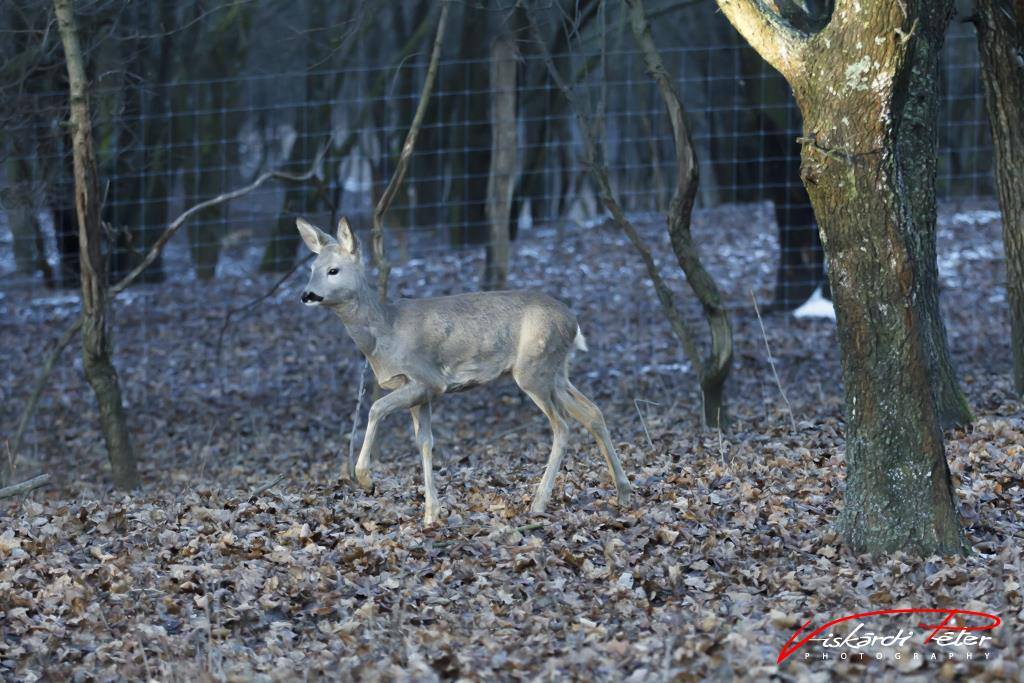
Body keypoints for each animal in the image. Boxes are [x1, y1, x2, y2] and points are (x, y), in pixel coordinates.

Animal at [296, 216, 632, 525]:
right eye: (312, 268)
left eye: (333, 270)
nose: (306, 295)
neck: (384, 334)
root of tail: (573, 322)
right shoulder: (419, 392)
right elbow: (425, 442)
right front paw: (431, 513)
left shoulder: (427, 379)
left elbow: (376, 408)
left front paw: (366, 478)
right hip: (556, 370)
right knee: (592, 412)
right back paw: (623, 490)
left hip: (533, 369)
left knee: (562, 425)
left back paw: (539, 503)